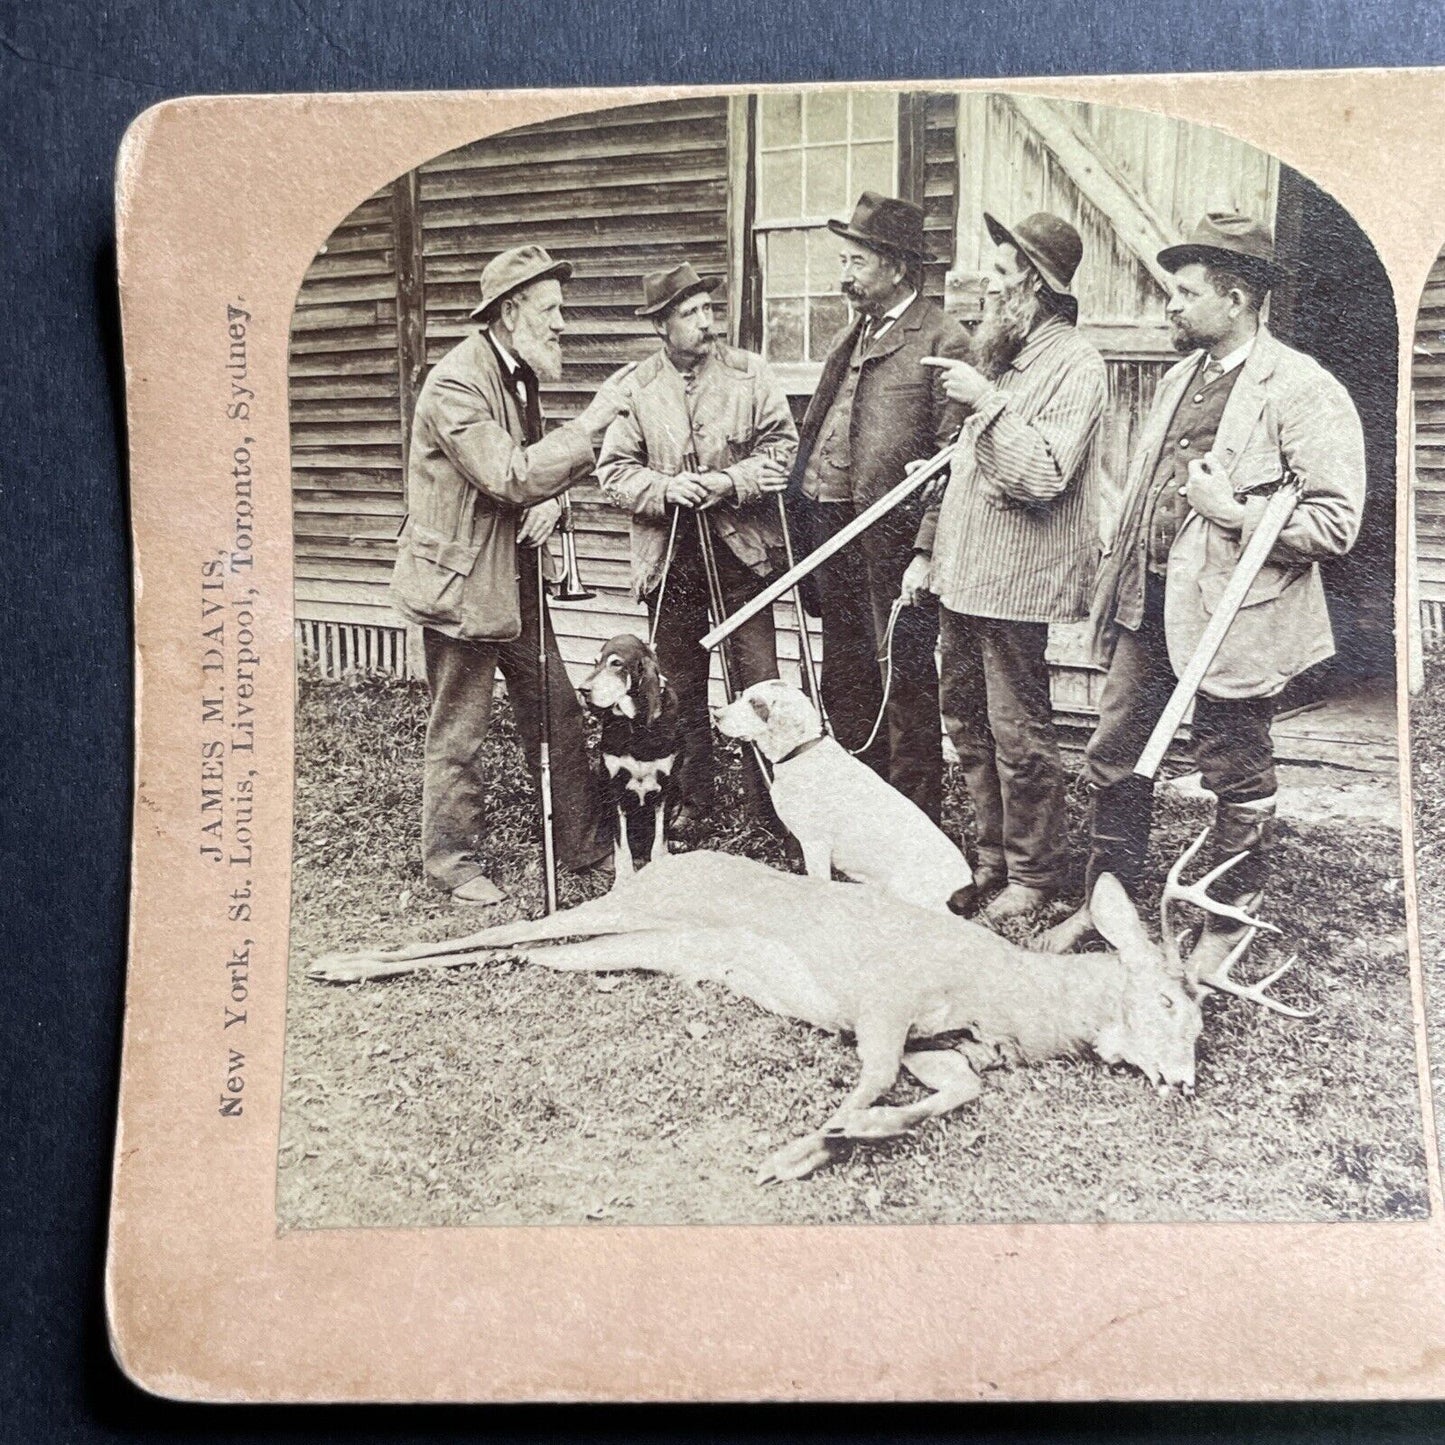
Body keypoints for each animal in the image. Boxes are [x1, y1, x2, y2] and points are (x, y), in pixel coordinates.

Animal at [310, 832, 1306, 1179]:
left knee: (521, 950)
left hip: (629, 949)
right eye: (1167, 1004)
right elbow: (869, 1074)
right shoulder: (882, 997)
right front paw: (798, 1149)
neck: (1001, 996)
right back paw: (335, 962)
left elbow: (956, 1089)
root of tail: (662, 862)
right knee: (499, 929)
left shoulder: (937, 1040)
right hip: (623, 911)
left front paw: (846, 1136)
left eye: (1205, 1024)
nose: (1183, 1079)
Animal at [578, 632, 684, 878]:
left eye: (616, 663)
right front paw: (624, 879)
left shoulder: (666, 788)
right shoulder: (614, 788)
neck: (635, 725)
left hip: (679, 793)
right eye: (596, 662)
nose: (583, 690)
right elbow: (621, 845)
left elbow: (659, 841)